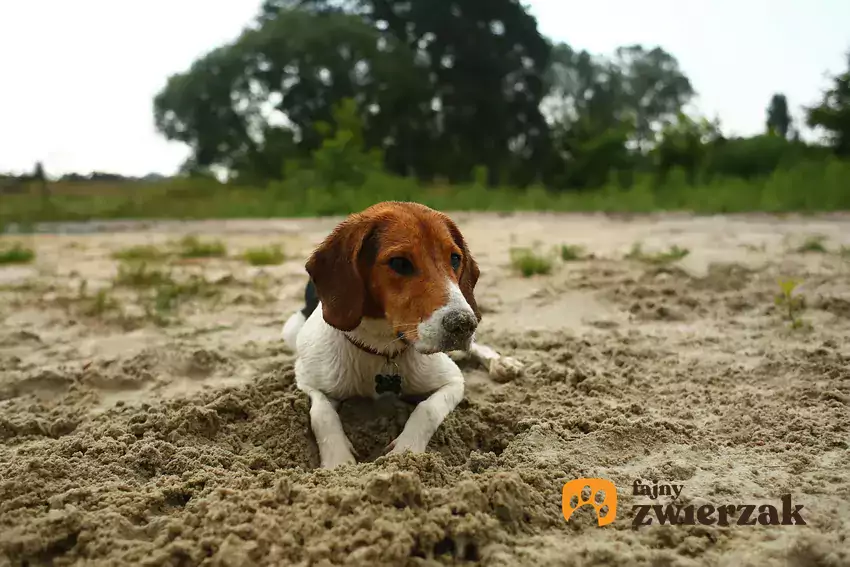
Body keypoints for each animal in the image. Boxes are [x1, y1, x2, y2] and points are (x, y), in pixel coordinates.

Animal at [282, 202, 520, 468]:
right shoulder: (307, 381)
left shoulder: (453, 381)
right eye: (400, 263)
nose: (464, 324)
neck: (381, 348)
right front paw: (338, 460)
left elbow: (427, 409)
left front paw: (406, 452)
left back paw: (501, 363)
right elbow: (321, 413)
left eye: (455, 258)